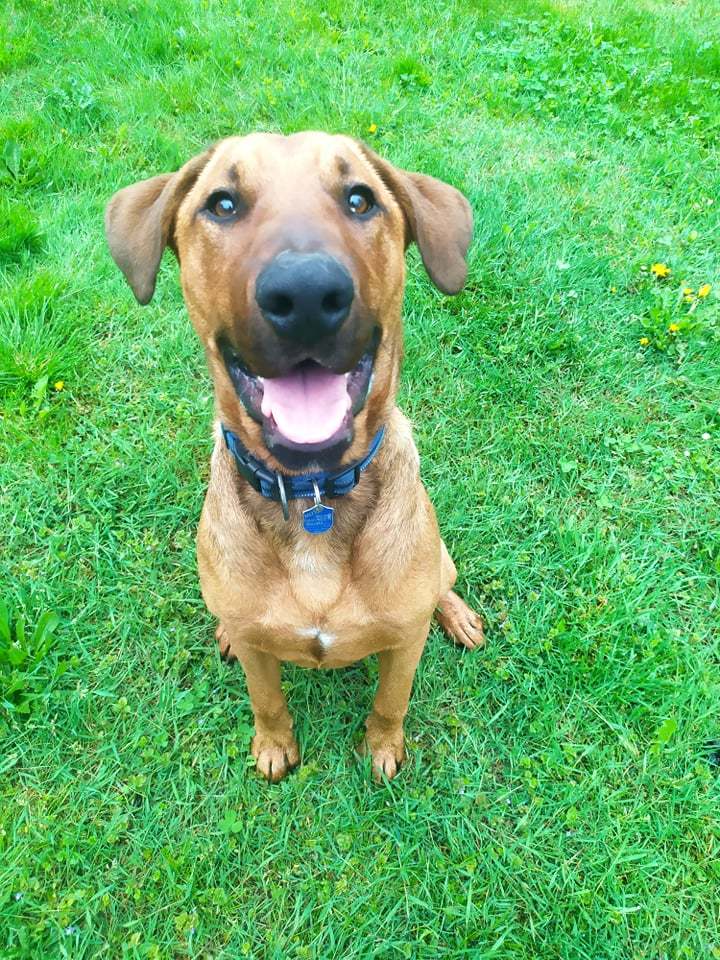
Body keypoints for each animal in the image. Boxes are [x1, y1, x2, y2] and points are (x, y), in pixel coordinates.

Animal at [105, 132, 484, 782]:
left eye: (359, 198)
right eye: (222, 204)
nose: (306, 294)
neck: (311, 495)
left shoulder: (404, 643)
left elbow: (391, 701)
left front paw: (382, 750)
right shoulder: (261, 651)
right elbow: (267, 699)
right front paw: (274, 746)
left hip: (440, 563)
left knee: (444, 582)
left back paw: (456, 614)